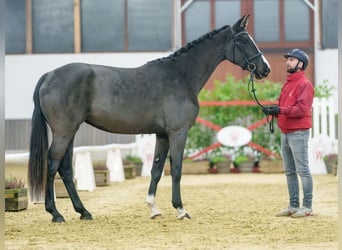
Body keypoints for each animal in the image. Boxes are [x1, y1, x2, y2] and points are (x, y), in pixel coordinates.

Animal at [28, 14, 270, 222]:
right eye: (244, 40)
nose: (265, 69)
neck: (180, 75)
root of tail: (49, 75)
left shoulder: (162, 135)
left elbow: (156, 170)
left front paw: (154, 208)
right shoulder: (178, 132)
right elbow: (176, 170)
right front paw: (180, 209)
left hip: (71, 132)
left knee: (65, 169)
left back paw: (83, 211)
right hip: (64, 132)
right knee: (52, 164)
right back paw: (55, 213)